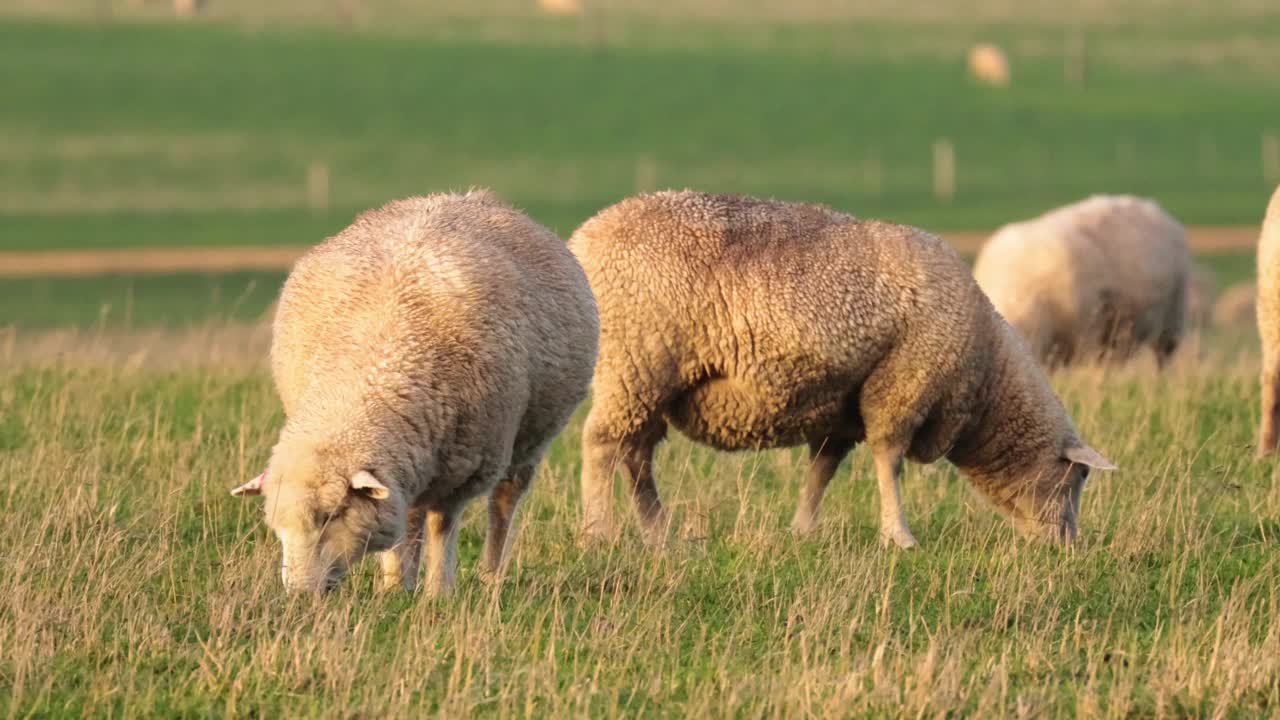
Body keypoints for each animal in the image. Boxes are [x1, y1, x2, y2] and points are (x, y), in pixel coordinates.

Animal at [231, 190, 599, 594]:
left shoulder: (463, 466)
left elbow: (442, 525)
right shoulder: (401, 468)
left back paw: (491, 574)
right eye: (277, 525)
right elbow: (400, 522)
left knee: (504, 501)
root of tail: (467, 196)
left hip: (530, 437)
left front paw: (439, 589)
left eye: (332, 515)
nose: (298, 592)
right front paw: (395, 585)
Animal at [568, 188, 1111, 545]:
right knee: (601, 446)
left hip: (650, 380)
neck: (987, 379)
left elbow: (822, 470)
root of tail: (585, 235)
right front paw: (900, 537)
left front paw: (803, 529)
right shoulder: (903, 386)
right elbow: (889, 462)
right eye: (1078, 479)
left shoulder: (843, 406)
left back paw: (660, 533)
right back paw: (598, 533)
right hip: (635, 361)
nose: (1068, 547)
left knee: (637, 456)